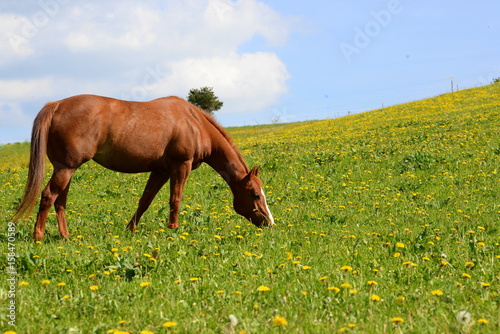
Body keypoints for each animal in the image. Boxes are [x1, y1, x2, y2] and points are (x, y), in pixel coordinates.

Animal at [11, 94, 276, 240]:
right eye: (254, 195)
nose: (270, 223)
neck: (194, 123)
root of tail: (56, 105)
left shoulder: (160, 170)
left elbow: (145, 201)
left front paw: (131, 229)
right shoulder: (181, 166)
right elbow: (175, 200)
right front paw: (173, 229)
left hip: (65, 169)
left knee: (60, 201)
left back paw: (65, 236)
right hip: (65, 168)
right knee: (48, 196)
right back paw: (38, 236)